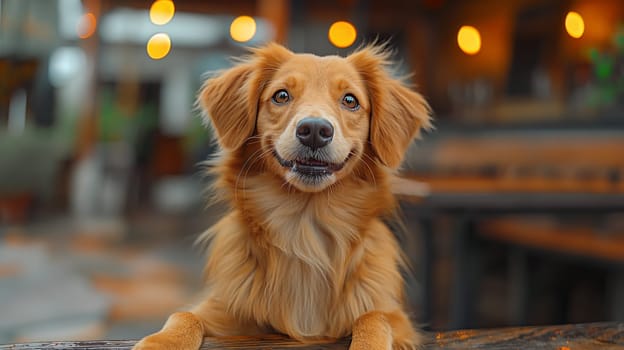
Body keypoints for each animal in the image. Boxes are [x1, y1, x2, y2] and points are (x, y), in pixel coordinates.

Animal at [134, 43, 432, 350]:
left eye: (350, 100)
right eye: (281, 95)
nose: (315, 130)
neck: (304, 226)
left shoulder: (393, 315)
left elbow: (374, 317)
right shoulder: (223, 310)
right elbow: (185, 315)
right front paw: (164, 343)